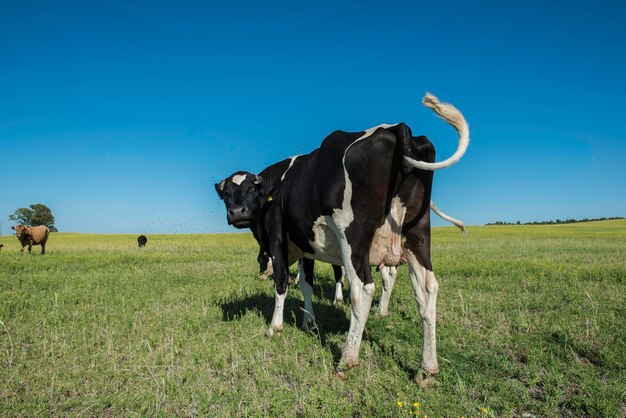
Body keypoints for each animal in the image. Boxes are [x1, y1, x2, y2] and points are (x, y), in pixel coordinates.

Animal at [216, 93, 468, 380]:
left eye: (250, 190)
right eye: (226, 195)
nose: (237, 212)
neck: (277, 185)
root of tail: (397, 128)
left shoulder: (279, 238)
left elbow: (282, 283)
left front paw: (274, 327)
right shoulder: (306, 245)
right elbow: (306, 284)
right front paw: (308, 322)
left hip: (353, 236)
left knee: (362, 289)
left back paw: (347, 358)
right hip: (417, 233)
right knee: (427, 290)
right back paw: (427, 367)